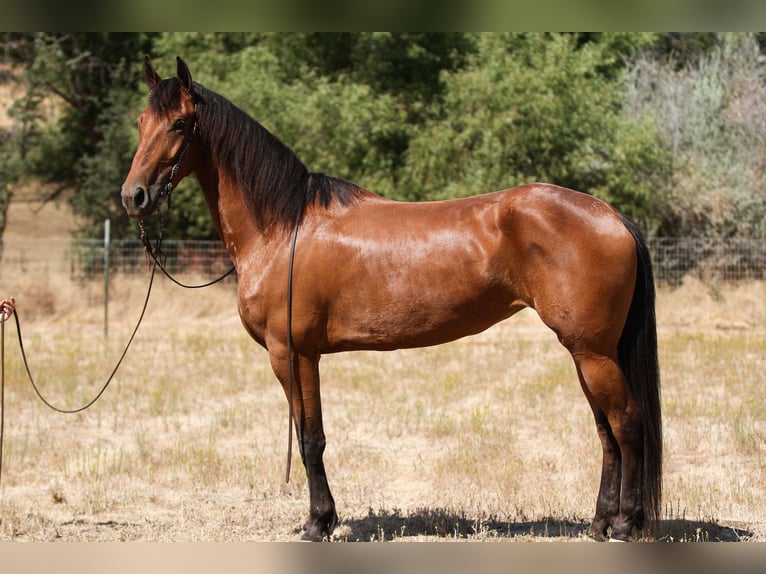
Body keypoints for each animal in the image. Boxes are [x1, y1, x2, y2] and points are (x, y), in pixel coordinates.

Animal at [121, 57, 661, 542]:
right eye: (141, 122)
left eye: (180, 123)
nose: (134, 196)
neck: (282, 227)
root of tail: (612, 216)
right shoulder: (301, 356)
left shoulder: (293, 354)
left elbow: (310, 439)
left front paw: (319, 523)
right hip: (586, 352)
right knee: (606, 432)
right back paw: (599, 524)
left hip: (593, 352)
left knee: (628, 424)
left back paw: (625, 526)